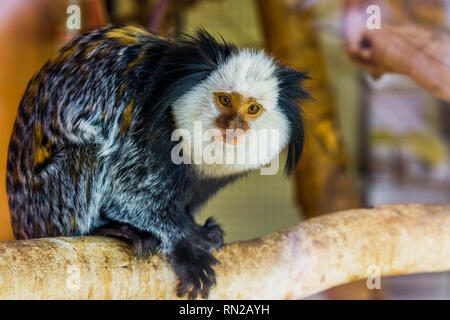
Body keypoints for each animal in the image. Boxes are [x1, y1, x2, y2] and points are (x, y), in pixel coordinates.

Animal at [7, 26, 308, 298]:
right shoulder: (141, 134)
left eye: (253, 109)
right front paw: (186, 243)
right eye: (225, 100)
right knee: (89, 151)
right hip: (49, 199)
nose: (234, 126)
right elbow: (128, 197)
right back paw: (109, 229)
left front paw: (197, 228)